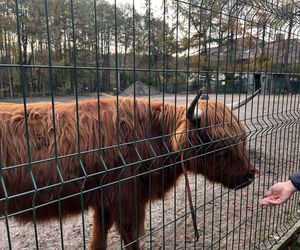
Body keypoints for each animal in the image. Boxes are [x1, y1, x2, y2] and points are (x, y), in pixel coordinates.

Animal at [0, 92, 258, 250]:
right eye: (218, 146)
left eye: (241, 139)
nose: (250, 176)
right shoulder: (127, 200)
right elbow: (131, 239)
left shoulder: (104, 201)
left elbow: (99, 241)